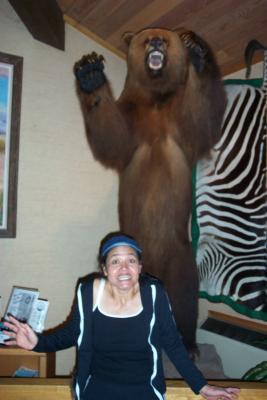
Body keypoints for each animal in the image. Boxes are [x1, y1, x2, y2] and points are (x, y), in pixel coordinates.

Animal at [74, 27, 226, 354]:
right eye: (147, 39)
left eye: (165, 39)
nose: (156, 41)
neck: (157, 99)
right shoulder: (133, 118)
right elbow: (112, 136)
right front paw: (90, 73)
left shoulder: (180, 124)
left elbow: (202, 119)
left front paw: (197, 52)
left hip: (182, 257)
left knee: (185, 298)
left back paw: (190, 344)